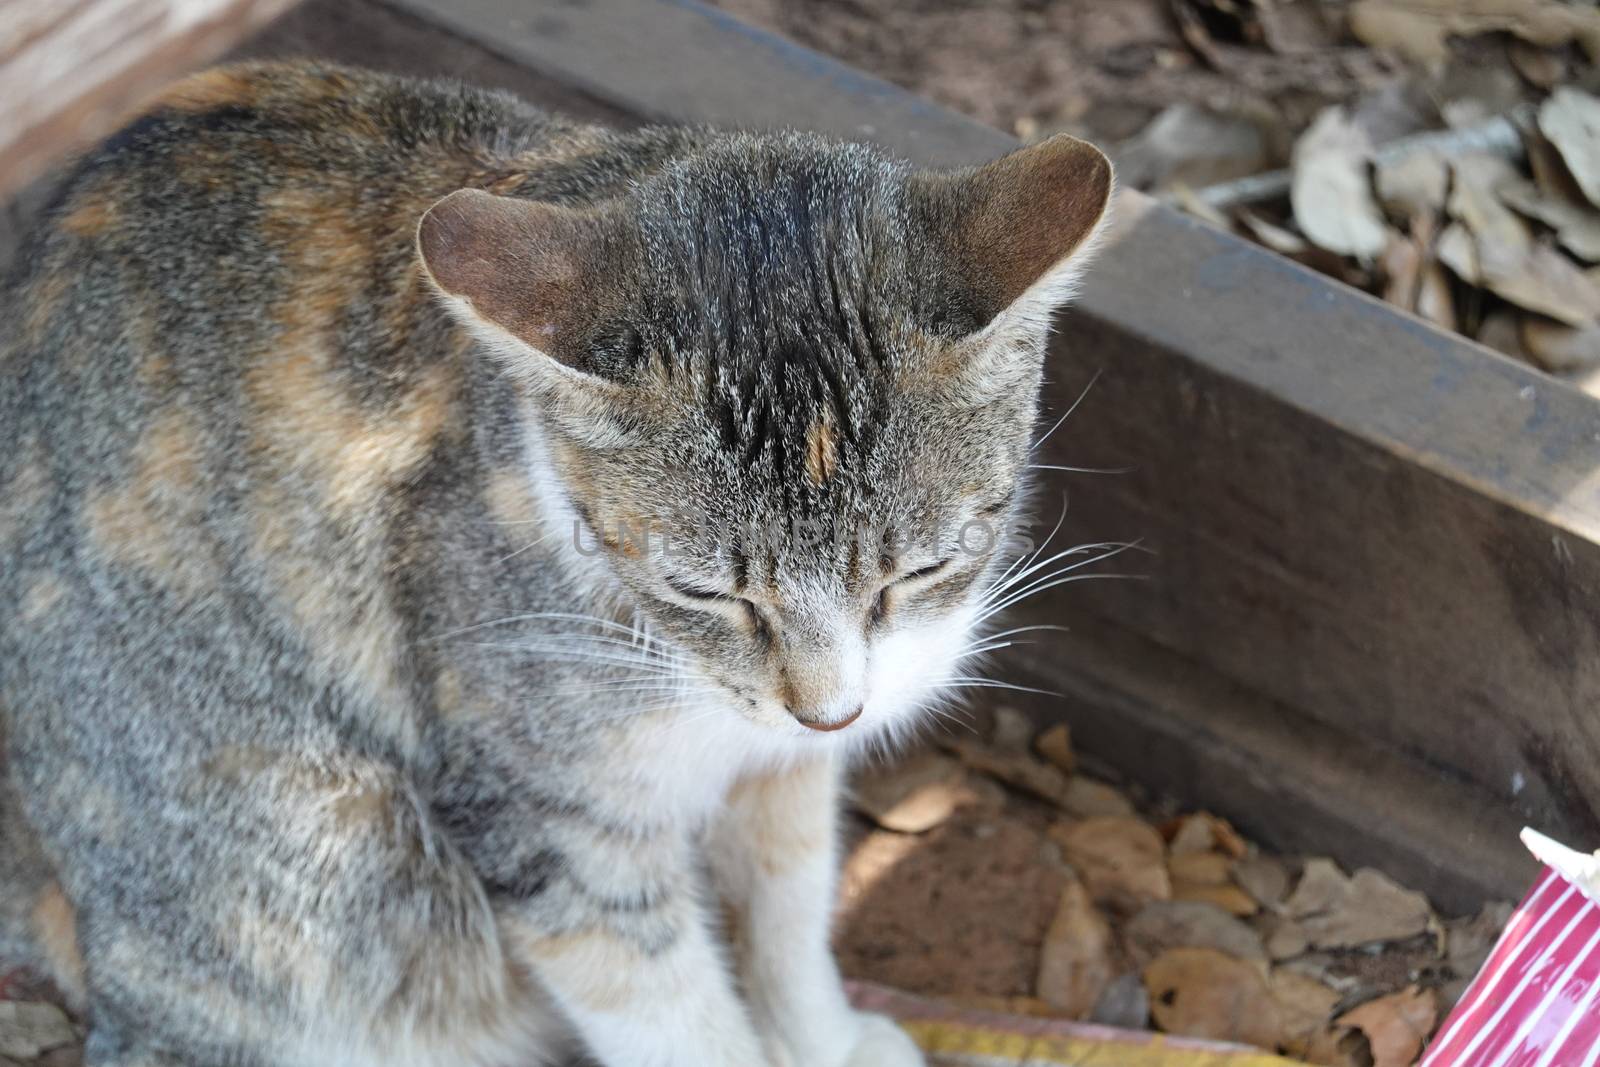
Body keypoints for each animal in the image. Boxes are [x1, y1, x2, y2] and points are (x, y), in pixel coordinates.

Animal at [0, 64, 1107, 1067]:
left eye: (919, 570)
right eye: (704, 589)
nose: (830, 713)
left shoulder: (781, 774)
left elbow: (788, 913)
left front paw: (823, 1039)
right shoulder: (544, 815)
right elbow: (668, 1008)